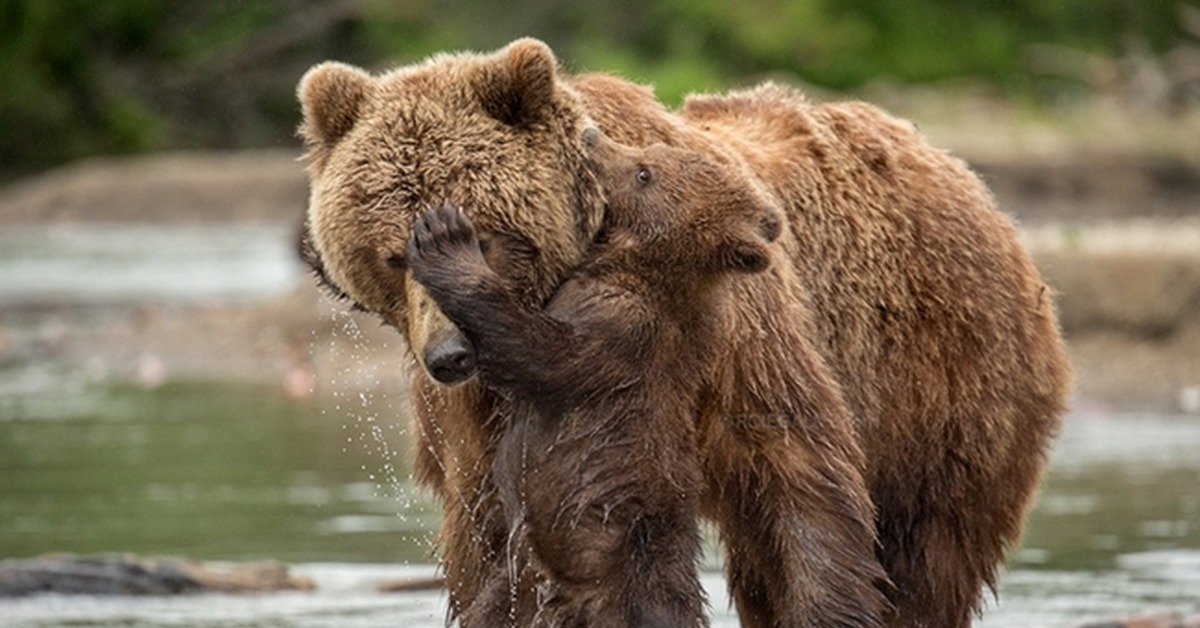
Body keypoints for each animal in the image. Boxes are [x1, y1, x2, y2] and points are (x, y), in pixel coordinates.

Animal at [297, 39, 1070, 628]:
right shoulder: (472, 420)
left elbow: (800, 468)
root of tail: (966, 178)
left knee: (927, 551)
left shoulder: (727, 329)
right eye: (389, 254)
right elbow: (490, 545)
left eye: (482, 232)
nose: (450, 354)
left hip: (947, 390)